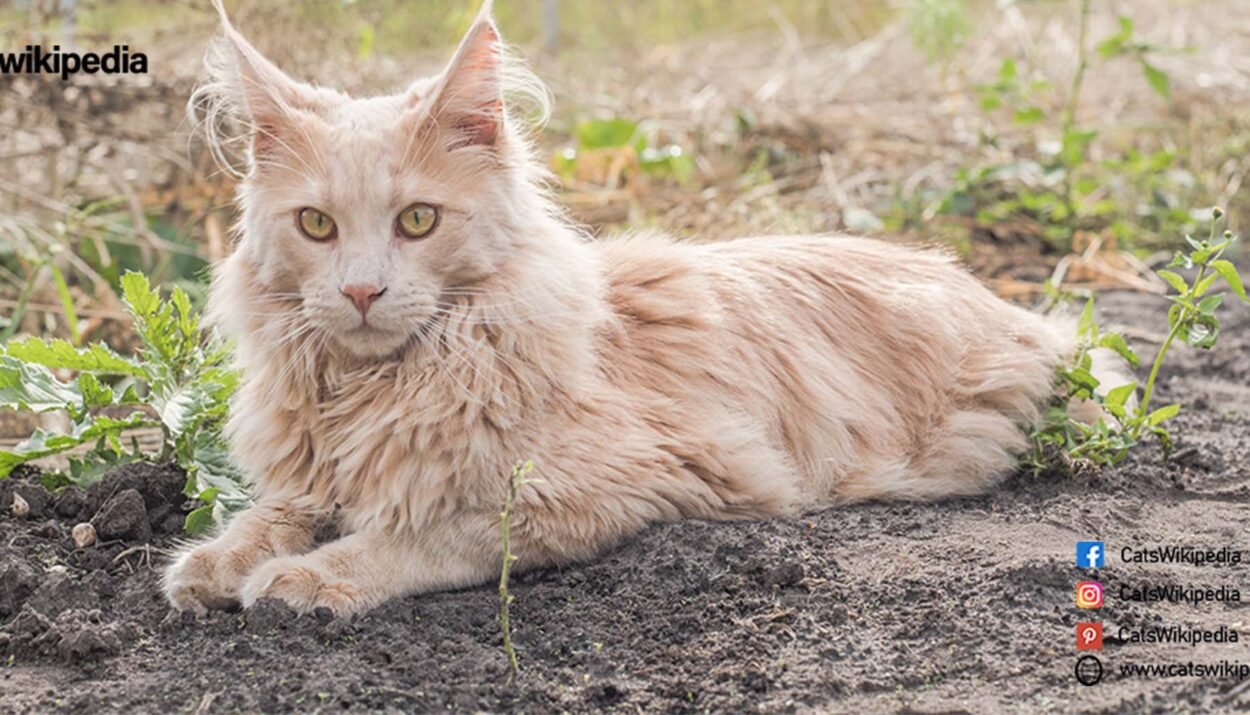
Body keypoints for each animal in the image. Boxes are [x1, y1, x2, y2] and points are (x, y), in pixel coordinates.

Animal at [166, 1, 1080, 615]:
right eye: (316, 225)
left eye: (417, 220)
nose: (360, 291)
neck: (371, 389)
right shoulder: (310, 474)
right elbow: (273, 512)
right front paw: (214, 561)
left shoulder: (615, 482)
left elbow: (423, 532)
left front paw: (310, 576)